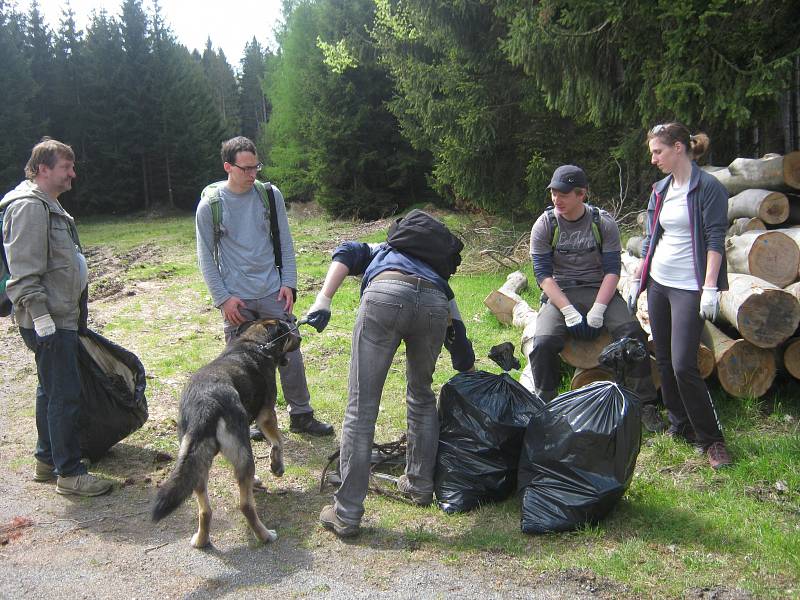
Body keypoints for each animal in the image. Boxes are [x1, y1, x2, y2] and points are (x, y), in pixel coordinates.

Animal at [152, 318, 298, 548]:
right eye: (289, 332)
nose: (300, 337)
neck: (256, 343)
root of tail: (205, 406)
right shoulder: (266, 415)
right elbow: (278, 442)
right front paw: (277, 466)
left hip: (197, 465)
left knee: (205, 510)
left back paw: (201, 540)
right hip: (241, 454)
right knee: (245, 505)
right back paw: (265, 535)